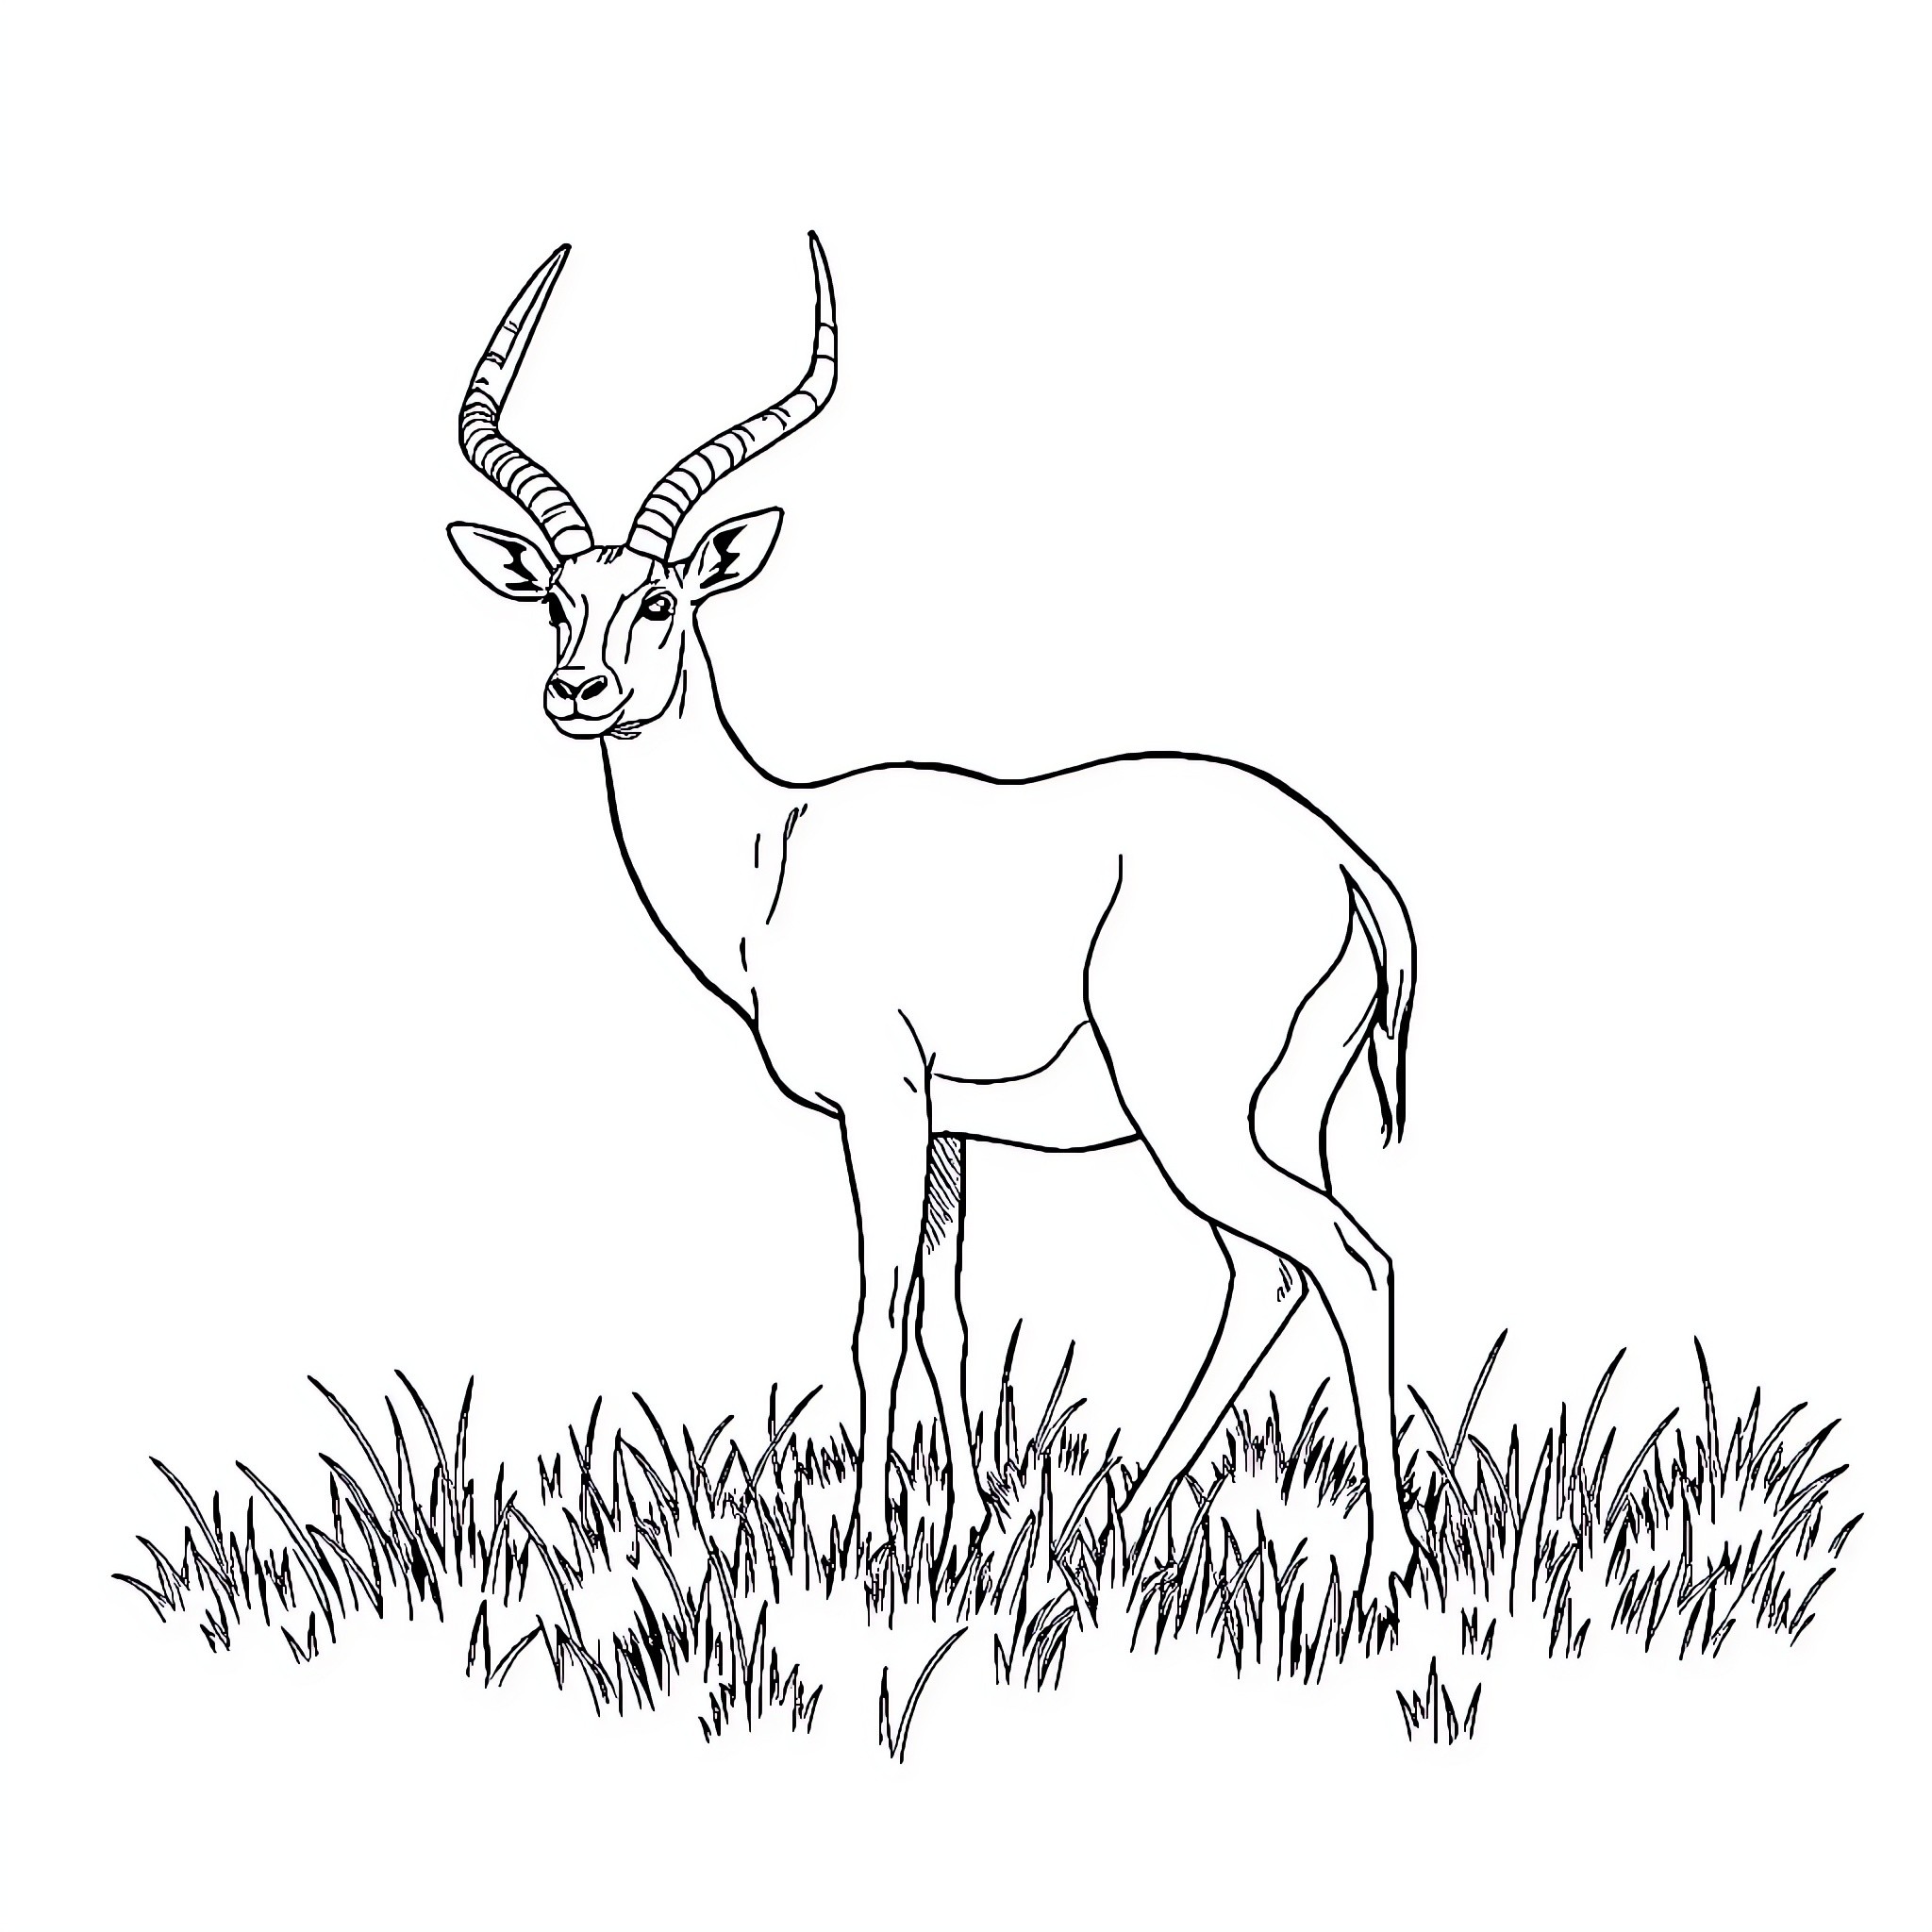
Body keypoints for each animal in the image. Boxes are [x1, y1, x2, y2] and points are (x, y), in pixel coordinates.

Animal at [446, 236, 1425, 1609]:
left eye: (660, 599)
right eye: (552, 600)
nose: (577, 690)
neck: (773, 850)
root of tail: (1346, 866)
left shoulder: (877, 1104)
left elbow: (879, 1308)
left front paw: (866, 1543)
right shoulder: (951, 1127)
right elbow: (951, 1313)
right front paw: (963, 1527)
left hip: (1196, 1117)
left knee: (1344, 1259)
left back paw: (1380, 1567)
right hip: (1280, 1114)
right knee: (1268, 1273)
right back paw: (1117, 1522)